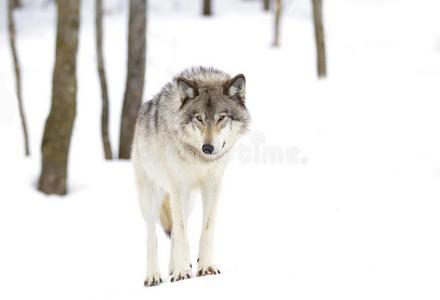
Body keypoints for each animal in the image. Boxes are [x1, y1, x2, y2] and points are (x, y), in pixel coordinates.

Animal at [131, 65, 251, 286]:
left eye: (221, 117)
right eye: (199, 118)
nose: (208, 147)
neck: (199, 159)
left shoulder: (212, 185)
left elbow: (205, 230)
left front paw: (205, 267)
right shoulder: (178, 188)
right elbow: (180, 234)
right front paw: (181, 272)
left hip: (189, 202)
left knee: (176, 233)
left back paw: (173, 267)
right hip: (151, 198)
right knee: (153, 237)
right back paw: (154, 276)